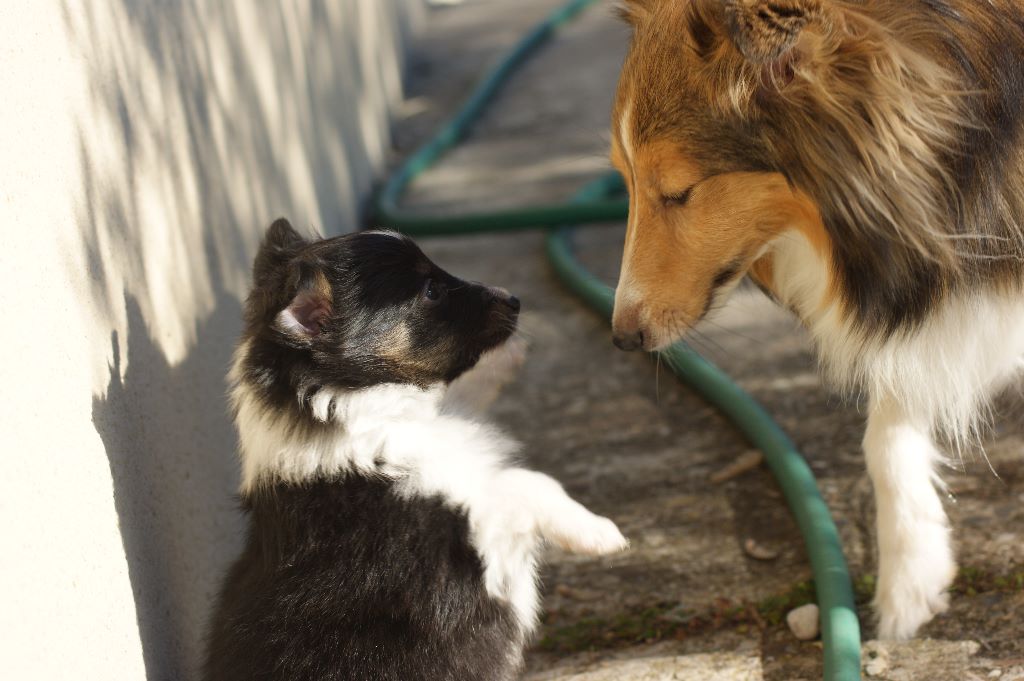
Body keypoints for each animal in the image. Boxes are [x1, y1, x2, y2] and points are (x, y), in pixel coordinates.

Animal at [201, 219, 622, 679]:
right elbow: (524, 482)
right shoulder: (472, 541)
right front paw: (601, 533)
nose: (514, 299)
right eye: (431, 291)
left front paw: (508, 358)